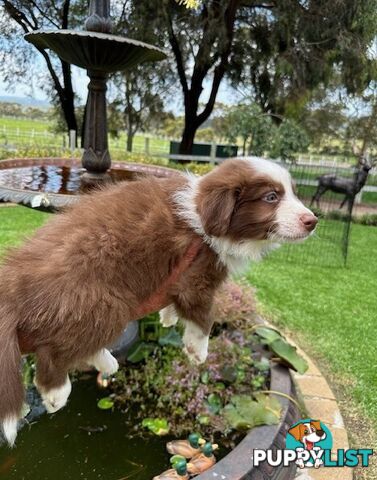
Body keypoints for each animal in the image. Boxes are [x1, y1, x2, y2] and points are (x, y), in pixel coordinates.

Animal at [0, 158, 316, 446]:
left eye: (292, 192)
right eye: (271, 197)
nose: (312, 221)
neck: (200, 212)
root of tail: (14, 283)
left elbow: (175, 303)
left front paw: (168, 317)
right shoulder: (196, 278)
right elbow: (204, 317)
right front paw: (198, 350)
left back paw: (106, 363)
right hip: (102, 302)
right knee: (55, 351)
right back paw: (56, 393)